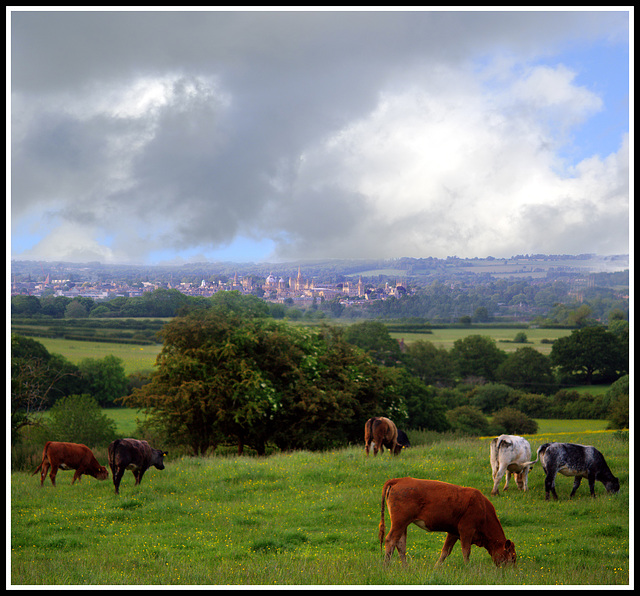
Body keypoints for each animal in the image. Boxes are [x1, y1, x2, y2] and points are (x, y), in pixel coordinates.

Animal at [378, 474, 516, 568]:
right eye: (513, 556)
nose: (511, 571)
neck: (482, 508)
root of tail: (399, 480)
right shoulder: (466, 530)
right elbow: (466, 551)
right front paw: (468, 568)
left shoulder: (454, 532)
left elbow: (445, 551)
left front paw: (436, 568)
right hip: (400, 522)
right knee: (391, 540)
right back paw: (386, 566)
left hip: (403, 524)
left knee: (400, 544)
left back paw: (406, 568)